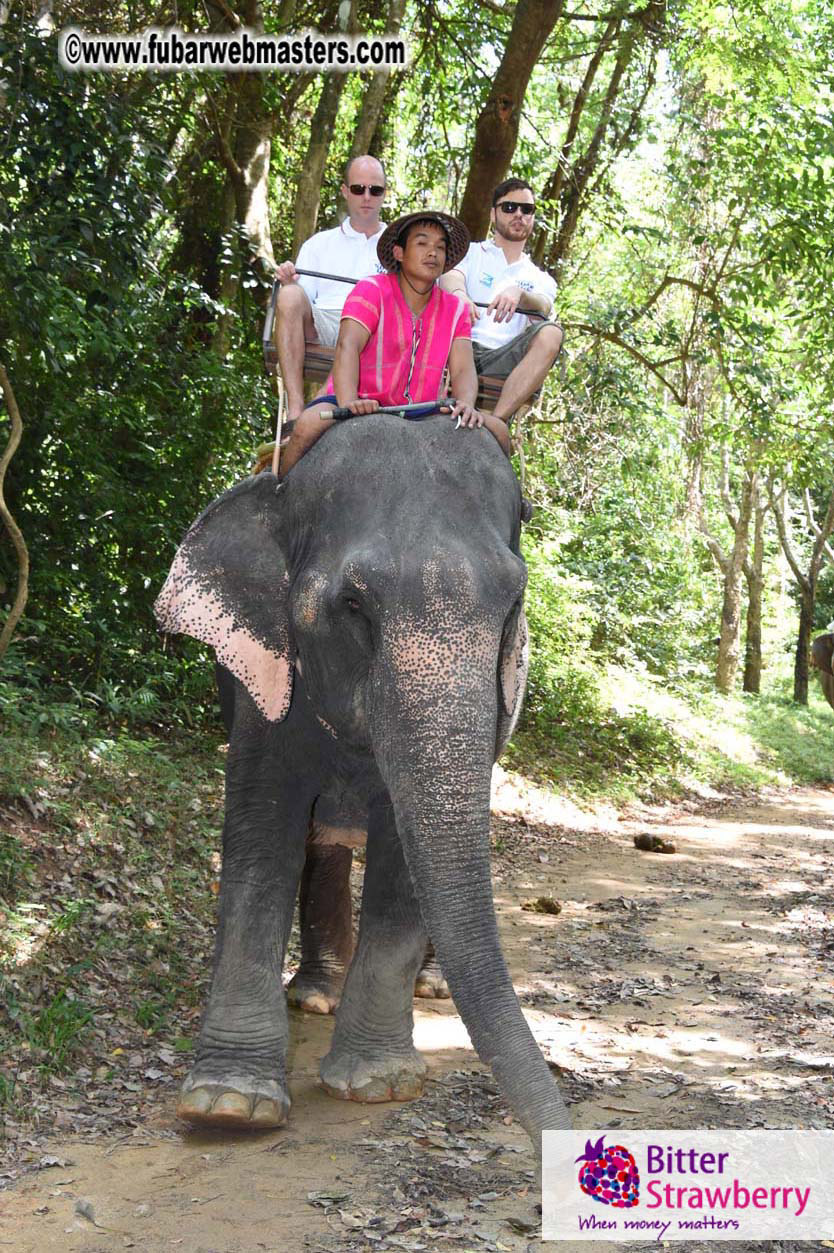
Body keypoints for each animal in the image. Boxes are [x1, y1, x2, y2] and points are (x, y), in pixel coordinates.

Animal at [155, 413, 570, 1150]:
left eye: (514, 602)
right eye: (352, 604)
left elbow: (404, 853)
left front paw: (377, 1082)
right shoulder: (265, 679)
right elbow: (262, 834)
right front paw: (227, 1104)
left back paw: (429, 986)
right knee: (320, 842)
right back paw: (313, 993)